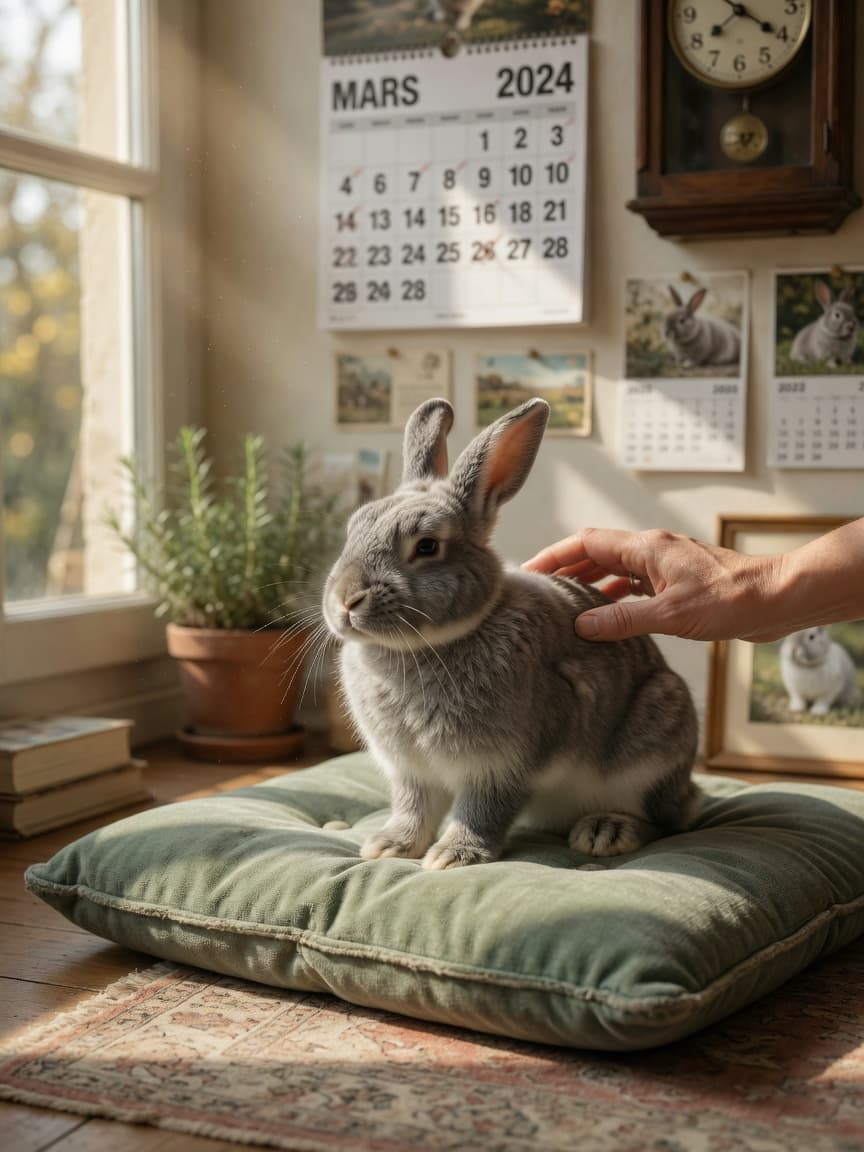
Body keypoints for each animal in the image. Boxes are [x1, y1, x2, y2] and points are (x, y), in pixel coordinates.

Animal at [322, 397, 700, 871]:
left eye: (427, 546)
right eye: (352, 530)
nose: (345, 600)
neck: (427, 646)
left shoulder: (503, 765)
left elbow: (482, 811)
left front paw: (454, 856)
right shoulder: (411, 771)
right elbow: (413, 808)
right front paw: (390, 846)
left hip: (656, 736)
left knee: (666, 821)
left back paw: (605, 832)